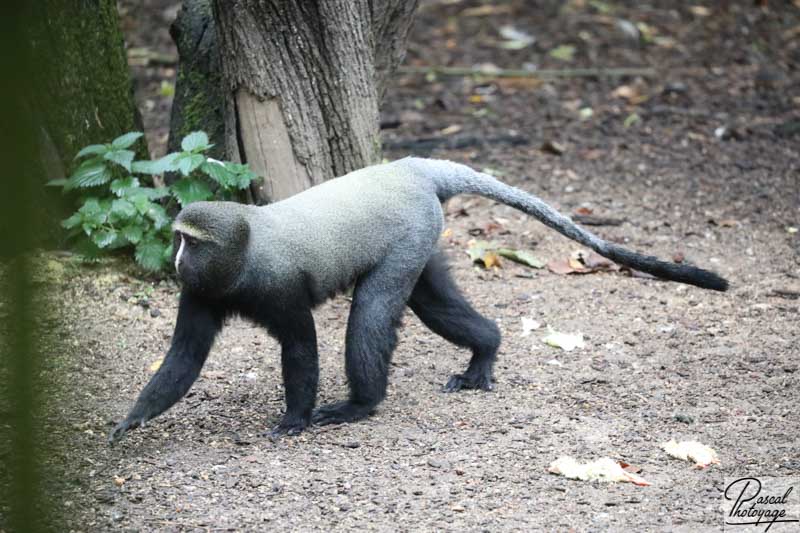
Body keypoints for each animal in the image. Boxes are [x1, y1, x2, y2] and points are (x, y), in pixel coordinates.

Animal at [108, 156, 732, 442]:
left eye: (188, 240)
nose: (175, 261)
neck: (244, 252)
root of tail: (409, 167)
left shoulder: (278, 288)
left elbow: (301, 349)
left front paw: (295, 418)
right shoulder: (201, 294)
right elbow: (184, 357)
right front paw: (133, 420)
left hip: (408, 237)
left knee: (370, 316)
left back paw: (361, 404)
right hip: (422, 244)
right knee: (431, 302)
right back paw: (485, 351)